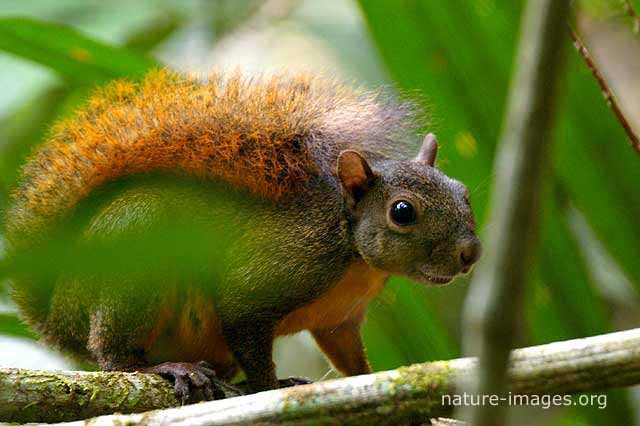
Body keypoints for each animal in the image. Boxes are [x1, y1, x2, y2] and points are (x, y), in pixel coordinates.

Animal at [3, 68, 480, 402]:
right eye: (402, 211)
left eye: (464, 192)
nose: (470, 253)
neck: (353, 259)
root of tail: (57, 316)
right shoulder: (278, 271)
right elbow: (243, 319)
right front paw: (271, 385)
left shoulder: (340, 322)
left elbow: (349, 359)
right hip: (133, 252)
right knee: (113, 359)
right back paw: (163, 369)